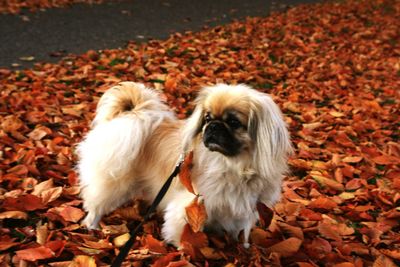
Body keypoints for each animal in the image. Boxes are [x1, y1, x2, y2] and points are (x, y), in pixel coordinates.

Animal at [76, 82, 292, 248]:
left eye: (233, 122)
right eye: (207, 118)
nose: (212, 126)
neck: (233, 165)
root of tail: (132, 115)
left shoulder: (245, 207)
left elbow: (241, 232)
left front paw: (243, 248)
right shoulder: (191, 203)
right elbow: (183, 231)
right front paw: (184, 250)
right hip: (113, 182)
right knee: (95, 204)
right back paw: (92, 226)